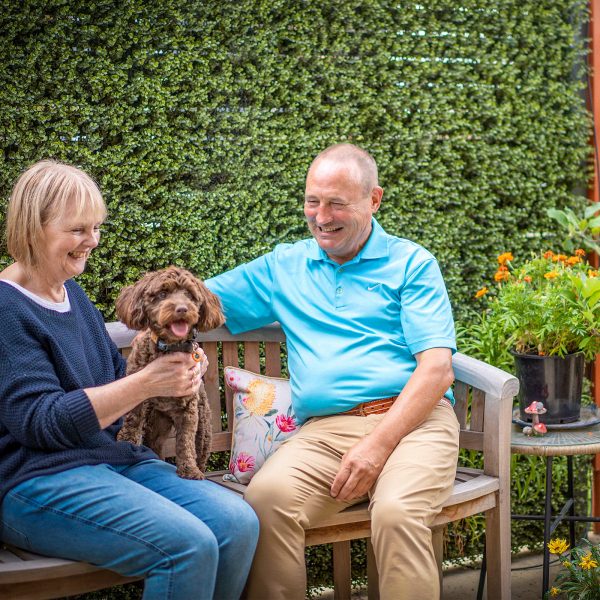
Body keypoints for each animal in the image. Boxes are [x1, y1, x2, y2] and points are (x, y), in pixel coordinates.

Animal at [115, 264, 223, 480]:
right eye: (162, 294)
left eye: (189, 295)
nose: (182, 309)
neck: (169, 347)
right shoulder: (137, 392)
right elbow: (132, 418)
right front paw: (127, 442)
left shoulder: (189, 410)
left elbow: (185, 441)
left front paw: (189, 469)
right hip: (154, 424)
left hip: (203, 430)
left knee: (199, 449)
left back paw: (198, 468)